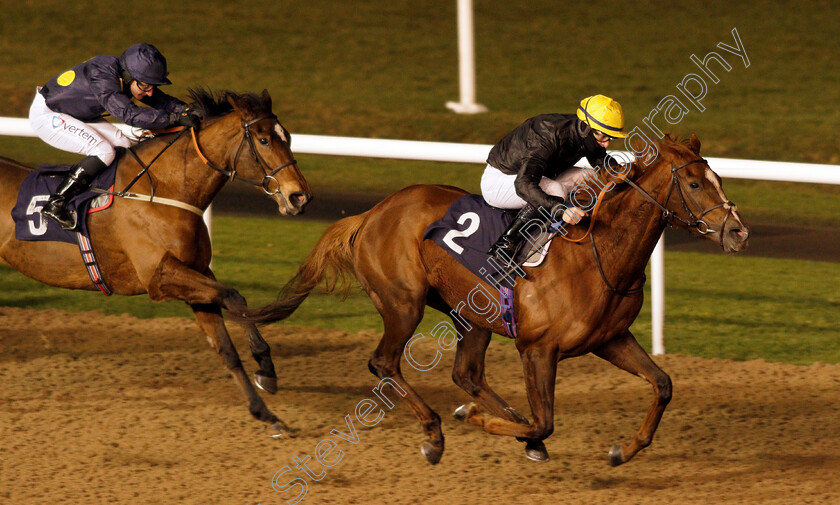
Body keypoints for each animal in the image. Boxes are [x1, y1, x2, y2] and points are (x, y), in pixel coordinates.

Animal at [0, 87, 312, 434]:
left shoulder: (197, 275)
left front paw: (267, 408)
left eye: (288, 137)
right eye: (264, 140)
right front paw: (265, 368)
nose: (300, 196)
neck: (164, 190)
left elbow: (226, 347)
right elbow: (236, 297)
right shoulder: (160, 278)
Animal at [241, 133, 748, 460]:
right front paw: (490, 425)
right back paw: (436, 433)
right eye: (695, 184)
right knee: (385, 363)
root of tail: (373, 212)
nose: (738, 232)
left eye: (719, 178)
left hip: (469, 314)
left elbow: (662, 384)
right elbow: (545, 419)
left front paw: (624, 449)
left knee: (466, 374)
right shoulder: (537, 348)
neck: (600, 252)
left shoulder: (610, 339)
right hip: (403, 302)